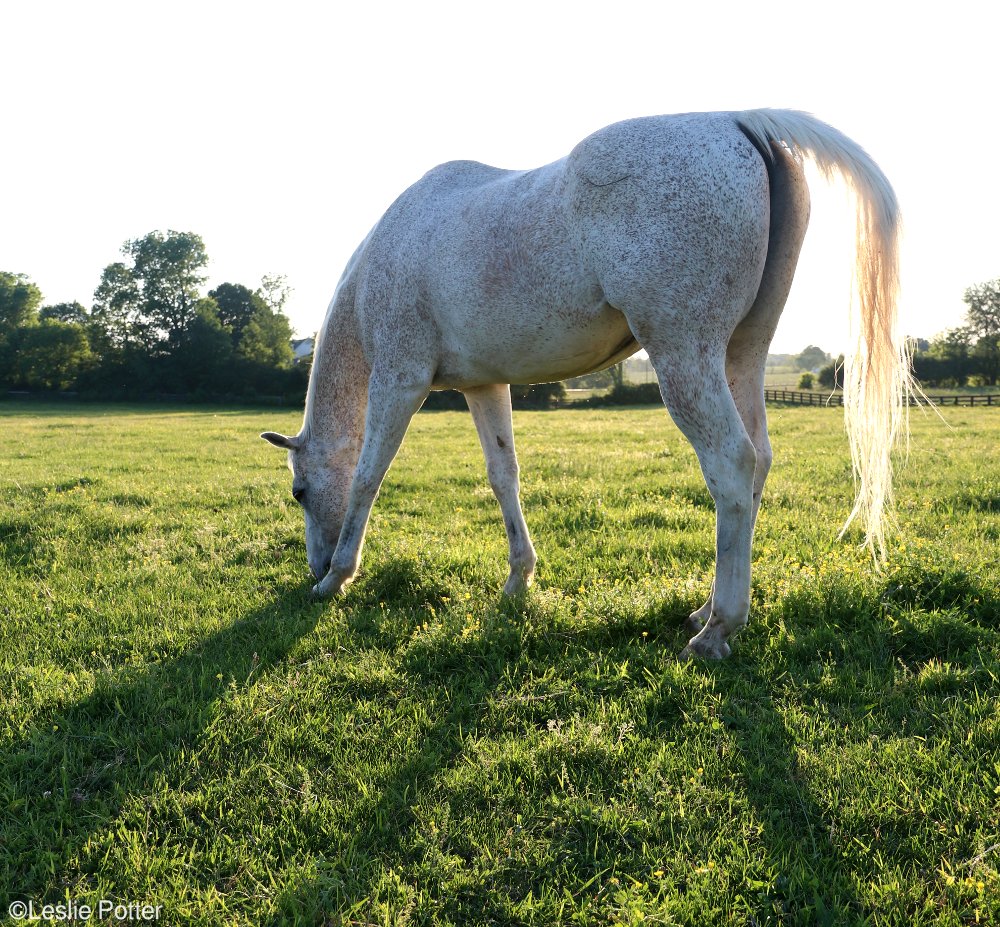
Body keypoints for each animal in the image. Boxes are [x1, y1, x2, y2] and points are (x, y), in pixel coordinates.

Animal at [262, 109, 912, 660]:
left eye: (299, 493)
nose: (314, 567)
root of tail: (741, 121)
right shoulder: (484, 387)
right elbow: (503, 476)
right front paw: (518, 580)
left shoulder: (400, 381)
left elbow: (367, 476)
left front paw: (339, 578)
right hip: (741, 355)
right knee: (757, 465)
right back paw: (706, 611)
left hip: (684, 356)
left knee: (732, 463)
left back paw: (716, 630)